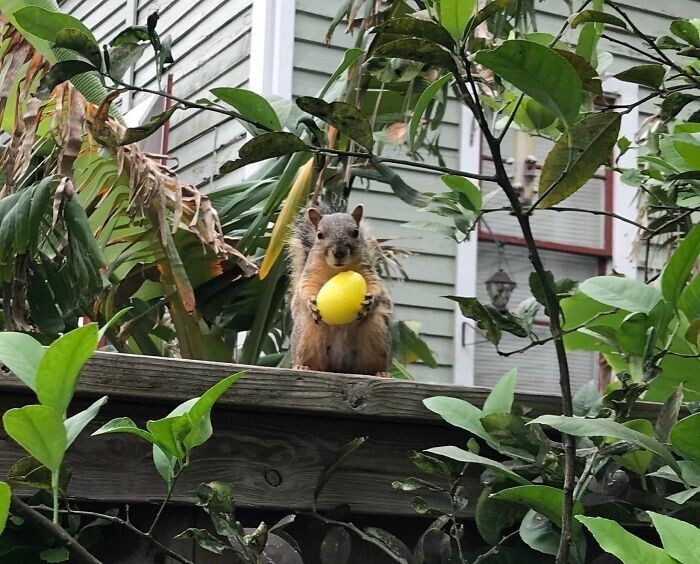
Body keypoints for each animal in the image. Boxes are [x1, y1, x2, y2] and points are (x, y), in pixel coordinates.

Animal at [288, 205, 394, 376]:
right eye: (319, 235)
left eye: (355, 232)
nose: (339, 253)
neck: (338, 269)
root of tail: (340, 367)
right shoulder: (310, 273)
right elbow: (305, 287)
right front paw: (311, 303)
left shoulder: (368, 271)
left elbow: (375, 285)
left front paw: (370, 301)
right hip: (308, 335)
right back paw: (302, 367)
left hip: (375, 333)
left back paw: (380, 373)